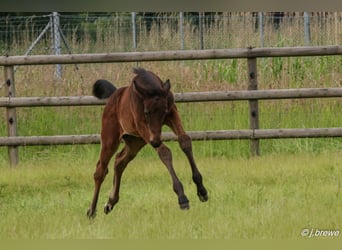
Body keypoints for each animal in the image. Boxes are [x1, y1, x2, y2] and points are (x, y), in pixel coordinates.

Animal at [87, 67, 207, 218]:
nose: (155, 141)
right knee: (100, 170)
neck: (151, 87)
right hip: (111, 138)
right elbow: (164, 152)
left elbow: (185, 141)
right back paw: (91, 210)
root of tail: (113, 97)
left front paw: (202, 190)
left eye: (164, 111)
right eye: (146, 112)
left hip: (135, 141)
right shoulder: (142, 126)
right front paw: (182, 197)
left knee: (120, 161)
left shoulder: (172, 113)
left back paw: (110, 202)